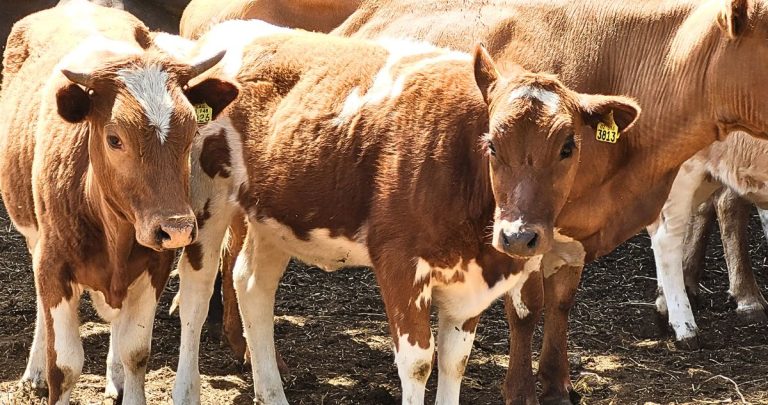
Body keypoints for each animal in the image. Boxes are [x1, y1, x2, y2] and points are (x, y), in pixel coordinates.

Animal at [0, 2, 236, 400]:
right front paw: (47, 370)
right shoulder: (52, 263)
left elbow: (135, 351)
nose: (176, 229)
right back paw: (34, 369)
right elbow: (64, 366)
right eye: (115, 139)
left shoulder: (154, 265)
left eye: (192, 131)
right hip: (32, 236)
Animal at [332, 0, 768, 402]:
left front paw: (557, 385)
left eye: (568, 147)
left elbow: (560, 303)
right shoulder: (517, 231)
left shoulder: (572, 231)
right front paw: (521, 389)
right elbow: (527, 309)